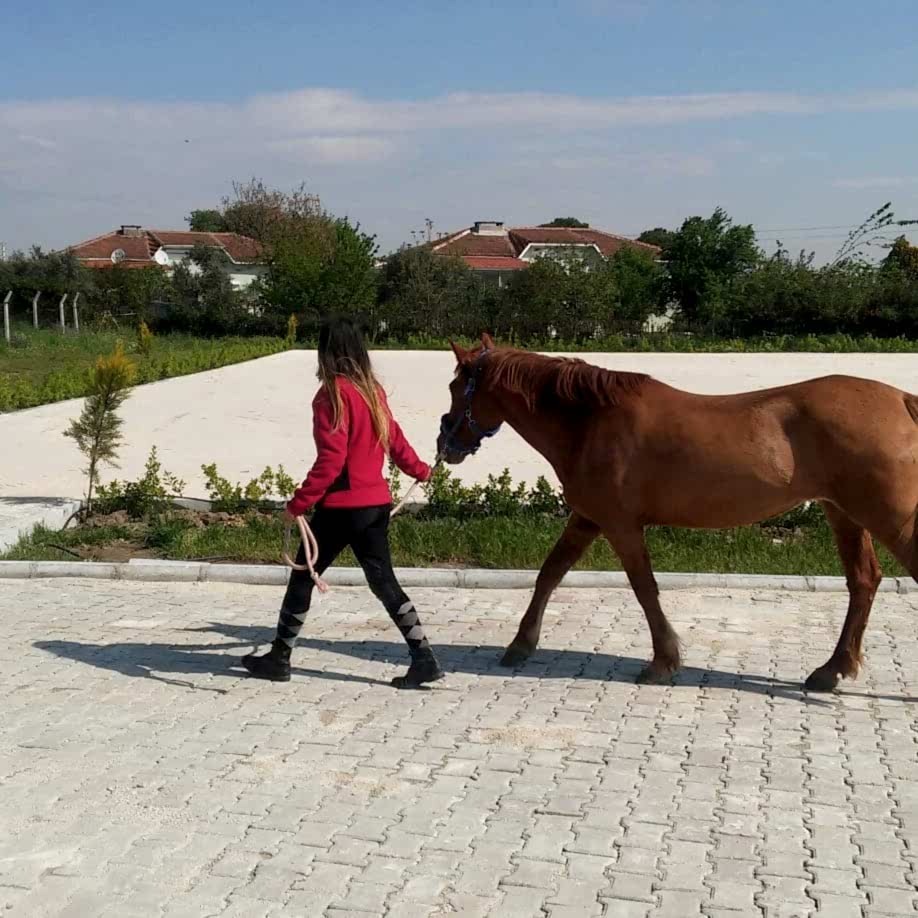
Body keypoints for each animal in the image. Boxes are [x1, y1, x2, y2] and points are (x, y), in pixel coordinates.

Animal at [436, 333, 918, 690]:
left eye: (457, 388)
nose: (447, 445)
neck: (589, 422)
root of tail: (900, 400)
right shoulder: (587, 519)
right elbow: (549, 574)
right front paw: (520, 645)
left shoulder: (620, 525)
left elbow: (644, 588)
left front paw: (663, 661)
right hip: (845, 515)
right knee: (863, 582)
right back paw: (829, 671)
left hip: (888, 518)